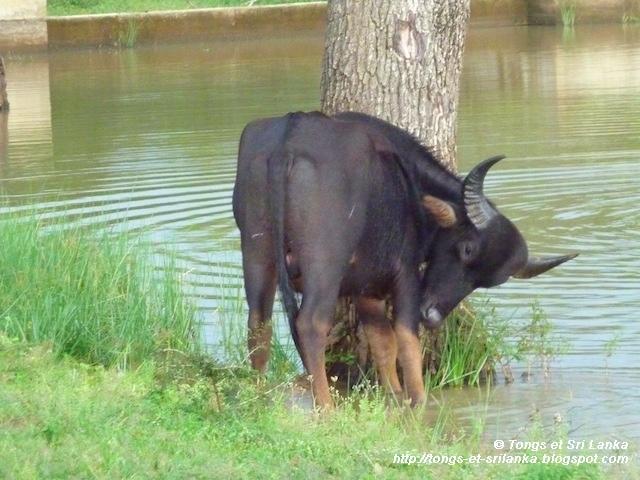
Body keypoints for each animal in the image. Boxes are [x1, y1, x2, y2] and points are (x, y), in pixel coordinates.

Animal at [232, 110, 576, 406]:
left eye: (488, 281)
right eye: (467, 248)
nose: (433, 316)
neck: (407, 185)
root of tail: (289, 141)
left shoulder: (366, 288)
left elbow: (383, 341)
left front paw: (395, 394)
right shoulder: (407, 274)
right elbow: (407, 340)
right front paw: (419, 400)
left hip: (256, 254)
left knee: (258, 324)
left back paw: (259, 396)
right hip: (324, 264)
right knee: (310, 325)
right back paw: (326, 407)